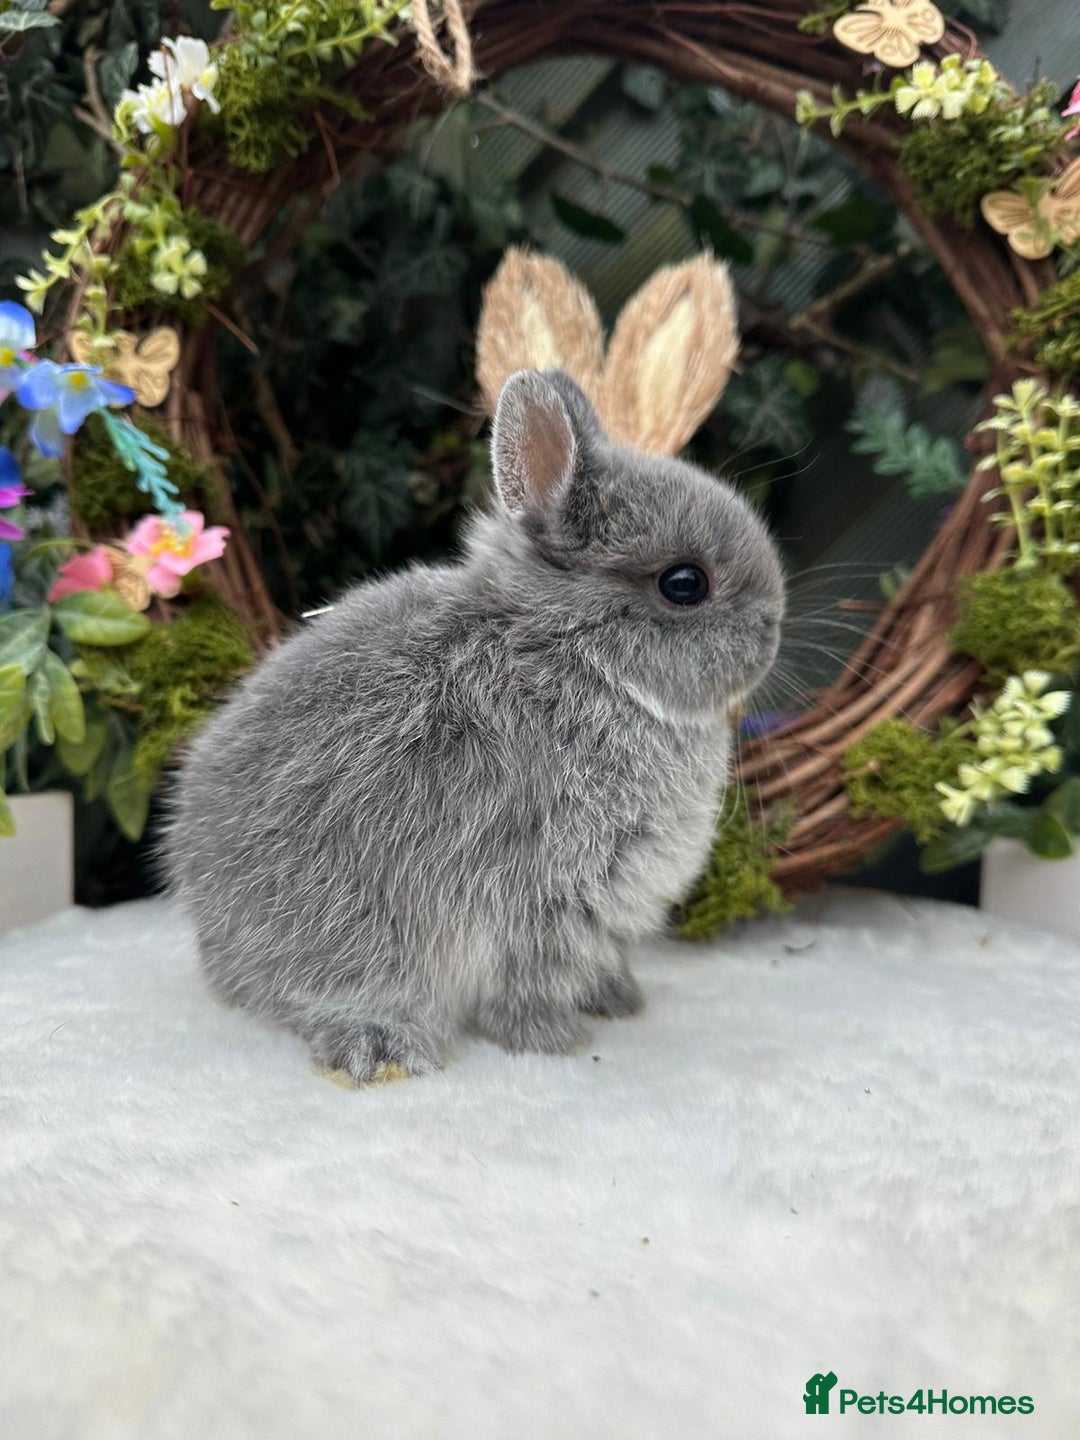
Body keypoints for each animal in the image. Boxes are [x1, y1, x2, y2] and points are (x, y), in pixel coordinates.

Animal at [165, 366, 784, 1082]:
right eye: (685, 584)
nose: (773, 631)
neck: (578, 656)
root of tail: (208, 930)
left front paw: (618, 1000)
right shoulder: (542, 895)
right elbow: (526, 985)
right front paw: (554, 1039)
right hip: (348, 929)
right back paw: (380, 1044)